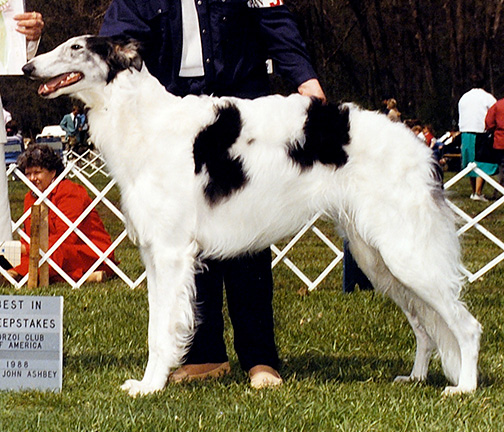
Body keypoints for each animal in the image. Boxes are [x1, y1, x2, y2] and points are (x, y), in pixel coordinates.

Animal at [22, 35, 480, 396]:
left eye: (76, 47)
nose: (27, 67)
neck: (143, 120)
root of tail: (422, 151)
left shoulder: (170, 252)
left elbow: (160, 331)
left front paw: (150, 386)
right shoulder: (154, 254)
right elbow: (160, 324)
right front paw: (155, 380)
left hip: (405, 253)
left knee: (466, 325)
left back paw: (465, 387)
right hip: (377, 258)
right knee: (425, 326)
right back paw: (416, 377)